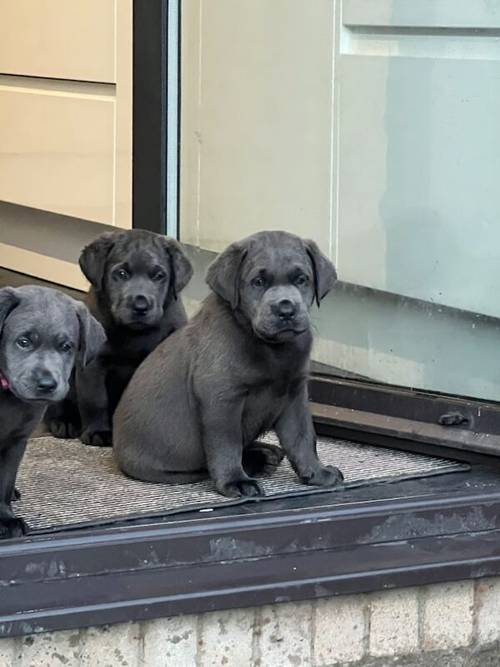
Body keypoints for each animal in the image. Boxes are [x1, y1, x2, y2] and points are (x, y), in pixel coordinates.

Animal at [0, 286, 104, 536]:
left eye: (66, 347)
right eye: (24, 341)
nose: (47, 384)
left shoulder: (16, 441)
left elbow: (4, 482)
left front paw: (6, 518)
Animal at [45, 230, 193, 448]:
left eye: (159, 276)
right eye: (122, 274)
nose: (140, 306)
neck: (133, 333)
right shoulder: (93, 365)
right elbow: (95, 400)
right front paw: (98, 431)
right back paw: (64, 421)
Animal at [113, 230, 344, 496]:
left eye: (301, 279)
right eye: (258, 282)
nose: (286, 310)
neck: (270, 347)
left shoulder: (294, 394)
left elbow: (303, 437)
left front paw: (317, 472)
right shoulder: (222, 399)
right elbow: (226, 444)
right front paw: (236, 481)